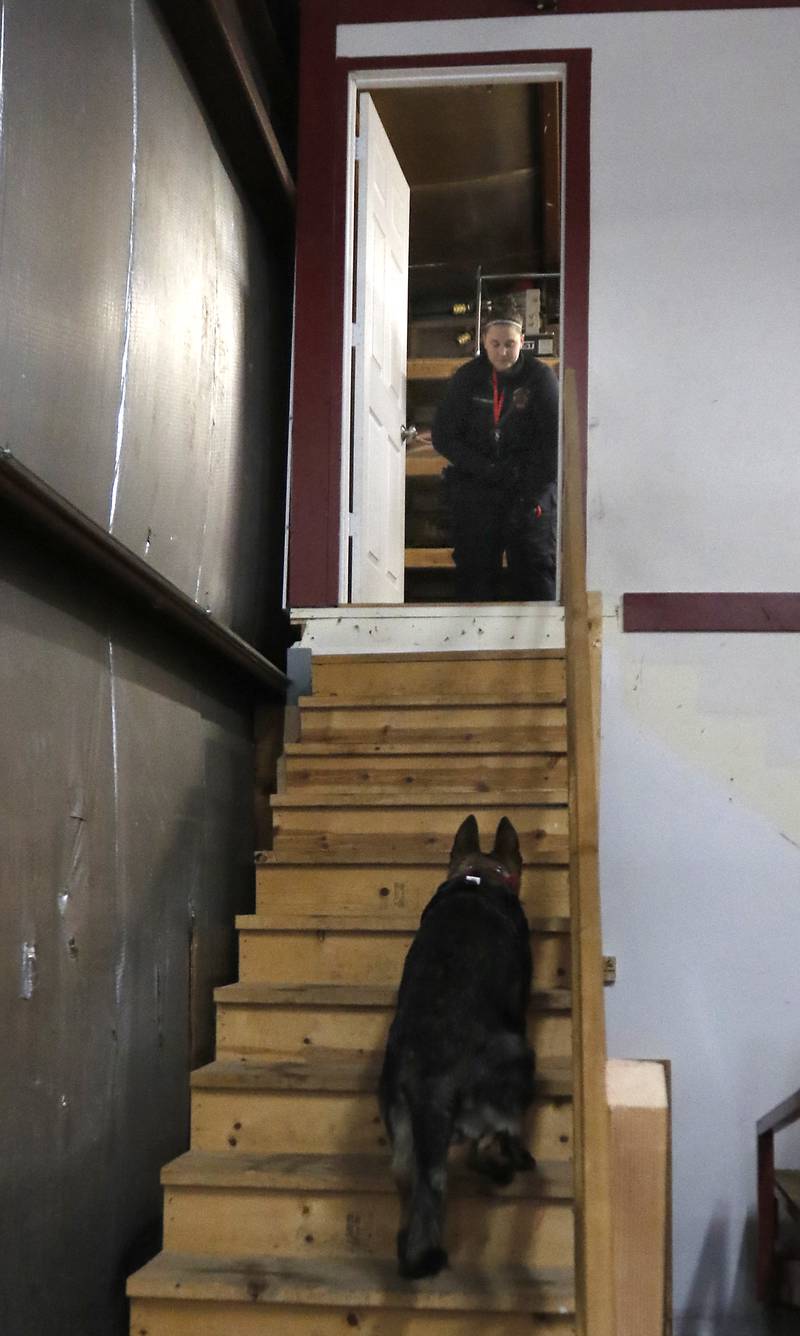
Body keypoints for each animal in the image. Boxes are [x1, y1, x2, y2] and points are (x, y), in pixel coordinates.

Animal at [379, 806, 534, 1277]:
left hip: (402, 1134)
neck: (478, 876)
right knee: (486, 1142)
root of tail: (430, 1075)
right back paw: (512, 1165)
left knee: (412, 1187)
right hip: (514, 1063)